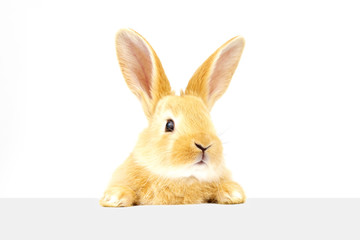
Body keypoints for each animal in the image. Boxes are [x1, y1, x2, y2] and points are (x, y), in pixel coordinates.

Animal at [100, 28, 246, 206]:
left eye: (210, 122)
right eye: (169, 125)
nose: (204, 145)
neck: (182, 178)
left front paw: (233, 193)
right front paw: (115, 197)